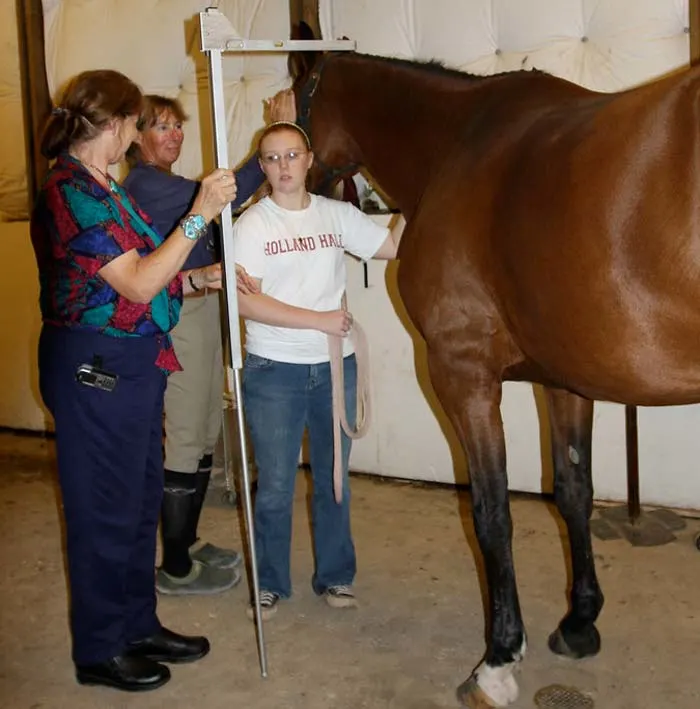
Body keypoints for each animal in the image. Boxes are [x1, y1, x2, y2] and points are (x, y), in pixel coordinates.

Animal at [288, 27, 700, 708]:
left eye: (296, 103)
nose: (295, 184)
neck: (458, 141)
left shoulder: (464, 376)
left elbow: (491, 511)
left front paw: (498, 659)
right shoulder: (565, 380)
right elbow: (573, 490)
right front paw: (579, 622)